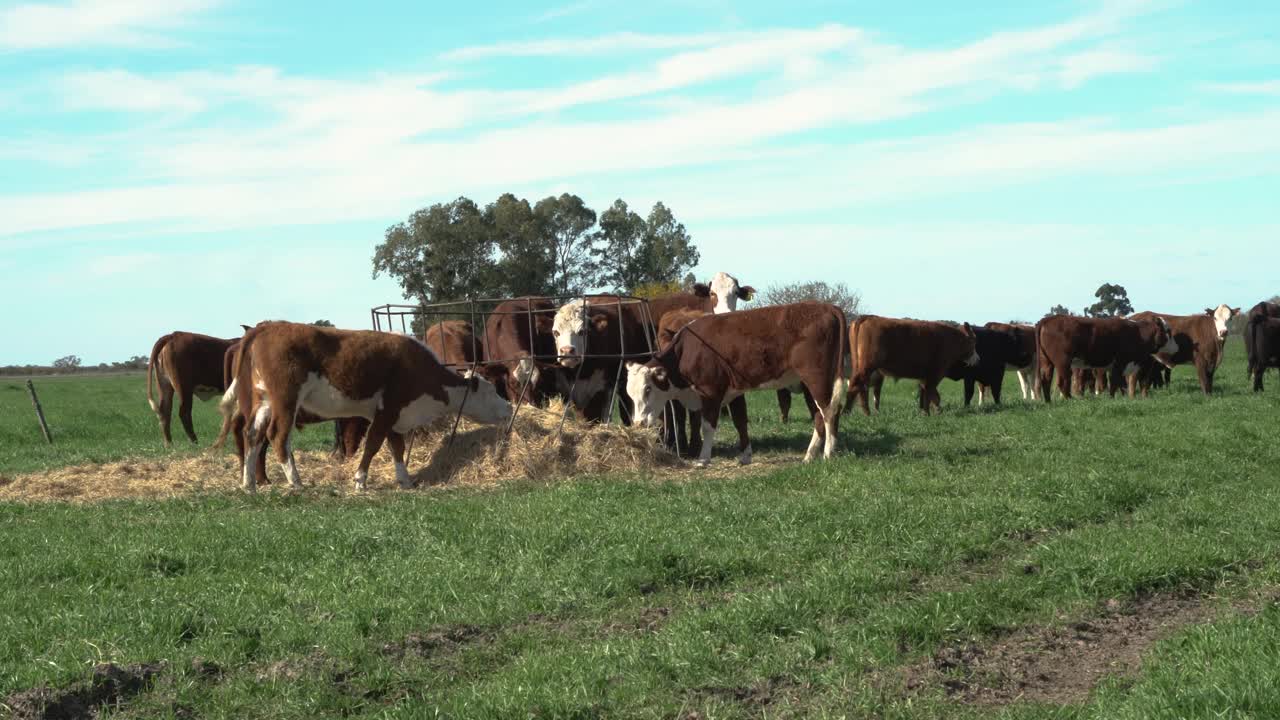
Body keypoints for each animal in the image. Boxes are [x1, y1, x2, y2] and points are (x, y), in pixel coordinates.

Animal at [232, 322, 512, 489]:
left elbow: (397, 447)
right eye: (491, 392)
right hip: (286, 400)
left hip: (264, 401)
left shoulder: (394, 417)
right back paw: (296, 482)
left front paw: (404, 480)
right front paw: (360, 480)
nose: (509, 409)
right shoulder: (387, 410)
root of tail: (269, 326)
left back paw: (248, 484)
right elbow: (373, 445)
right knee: (277, 436)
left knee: (252, 435)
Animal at [622, 301, 844, 466]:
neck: (687, 351)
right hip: (810, 384)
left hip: (817, 378)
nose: (638, 423)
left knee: (828, 412)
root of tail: (828, 307)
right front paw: (745, 456)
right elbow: (740, 421)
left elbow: (708, 426)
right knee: (819, 414)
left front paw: (703, 459)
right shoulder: (735, 391)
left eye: (648, 389)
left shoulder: (710, 391)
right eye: (630, 394)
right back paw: (809, 455)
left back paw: (827, 453)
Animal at [849, 315, 977, 412]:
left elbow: (927, 395)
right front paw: (933, 412)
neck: (951, 339)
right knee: (859, 385)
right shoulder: (935, 374)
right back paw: (859, 412)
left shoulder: (925, 377)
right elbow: (932, 395)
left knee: (862, 387)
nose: (978, 358)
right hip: (867, 367)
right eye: (973, 342)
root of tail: (869, 317)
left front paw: (927, 412)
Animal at [1034, 313, 1172, 399]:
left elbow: (1120, 384)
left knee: (1046, 379)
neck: (1137, 333)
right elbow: (1115, 382)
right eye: (1167, 331)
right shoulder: (1119, 363)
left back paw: (1048, 401)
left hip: (1047, 362)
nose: (1172, 343)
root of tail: (1049, 319)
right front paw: (1112, 398)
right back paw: (1069, 399)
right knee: (1063, 382)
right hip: (1063, 363)